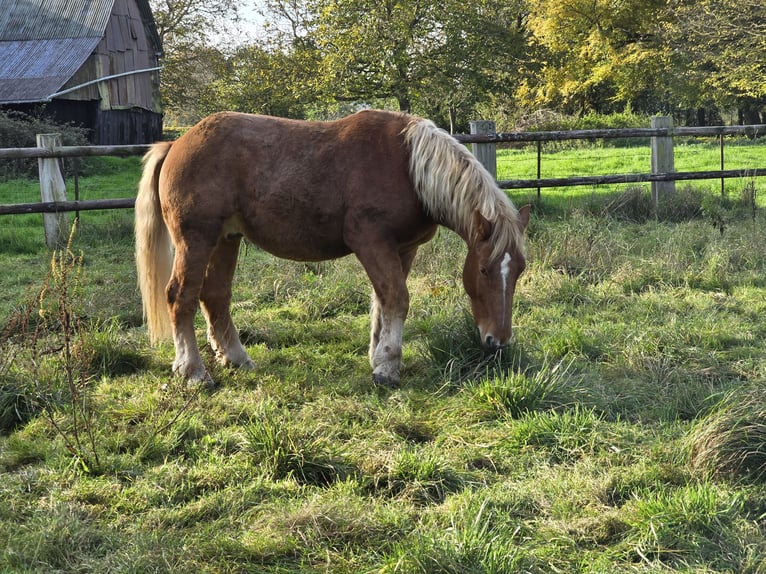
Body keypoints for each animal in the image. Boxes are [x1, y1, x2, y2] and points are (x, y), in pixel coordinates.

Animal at [135, 110, 532, 390]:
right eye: (484, 269)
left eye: (519, 270)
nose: (497, 341)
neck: (407, 167)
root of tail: (176, 145)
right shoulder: (371, 242)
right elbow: (396, 299)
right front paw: (388, 366)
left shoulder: (403, 249)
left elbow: (383, 302)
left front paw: (378, 357)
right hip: (196, 240)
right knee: (180, 296)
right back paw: (193, 371)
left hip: (226, 239)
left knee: (215, 296)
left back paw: (236, 358)